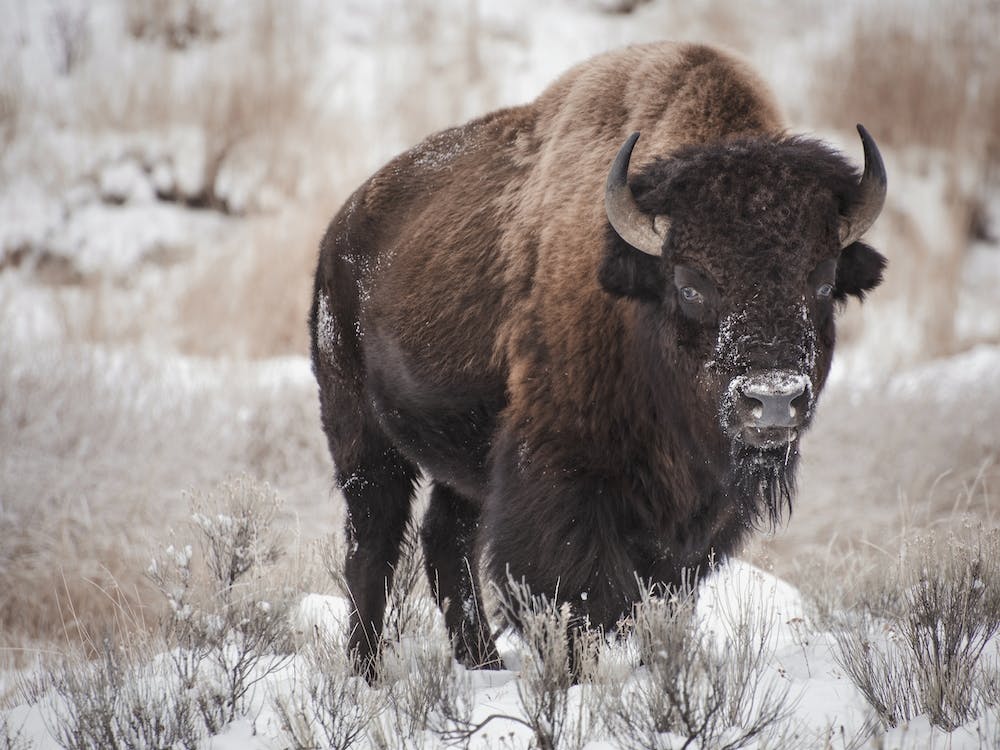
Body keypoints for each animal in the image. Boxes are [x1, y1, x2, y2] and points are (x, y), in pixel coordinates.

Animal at [309, 41, 887, 676]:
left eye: (824, 280)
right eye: (690, 284)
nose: (774, 401)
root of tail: (341, 230)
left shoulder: (698, 516)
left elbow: (667, 594)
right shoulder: (563, 478)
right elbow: (581, 595)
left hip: (461, 462)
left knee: (445, 541)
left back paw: (483, 663)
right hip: (362, 437)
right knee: (374, 545)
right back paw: (365, 671)